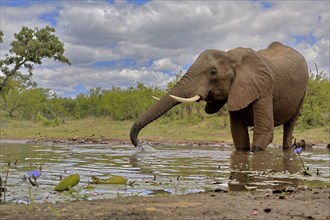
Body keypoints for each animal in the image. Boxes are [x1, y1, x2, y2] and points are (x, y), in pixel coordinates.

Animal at [130, 41, 310, 151]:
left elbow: (264, 132)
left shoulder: (265, 88)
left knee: (290, 125)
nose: (141, 145)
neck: (231, 56)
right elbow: (238, 134)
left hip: (302, 92)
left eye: (213, 72)